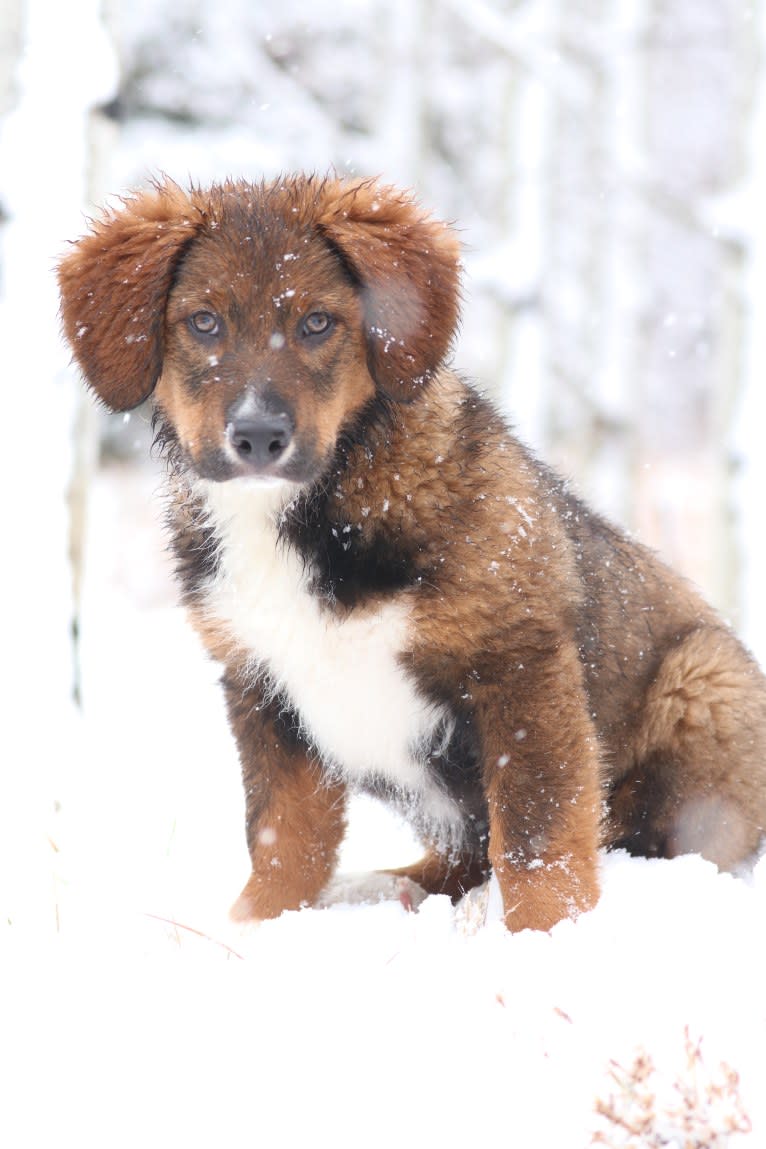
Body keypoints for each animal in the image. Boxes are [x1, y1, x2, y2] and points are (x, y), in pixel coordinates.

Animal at [58, 176, 766, 932]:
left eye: (317, 323)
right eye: (202, 323)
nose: (257, 438)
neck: (314, 510)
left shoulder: (520, 663)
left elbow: (538, 833)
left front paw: (547, 936)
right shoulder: (259, 682)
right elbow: (283, 835)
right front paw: (256, 926)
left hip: (703, 681)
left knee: (638, 837)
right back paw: (389, 889)